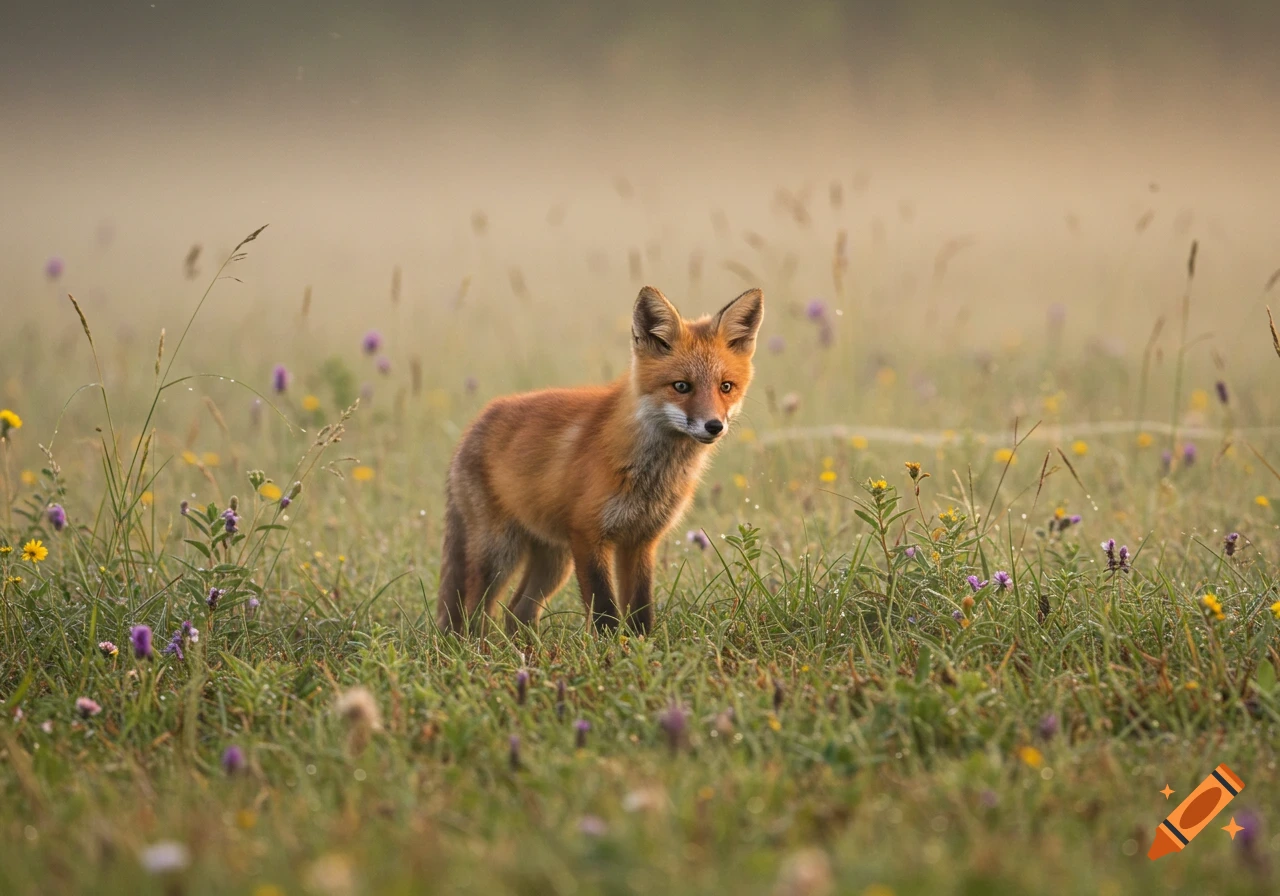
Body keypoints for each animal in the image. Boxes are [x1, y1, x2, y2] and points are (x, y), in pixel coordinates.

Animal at [436, 285, 764, 635]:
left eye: (726, 387)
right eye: (681, 386)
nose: (714, 426)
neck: (649, 475)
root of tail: (473, 426)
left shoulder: (641, 539)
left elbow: (641, 606)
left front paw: (642, 643)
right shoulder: (588, 535)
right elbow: (604, 608)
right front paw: (610, 646)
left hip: (554, 560)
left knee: (517, 612)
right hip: (500, 553)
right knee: (473, 613)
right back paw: (474, 645)